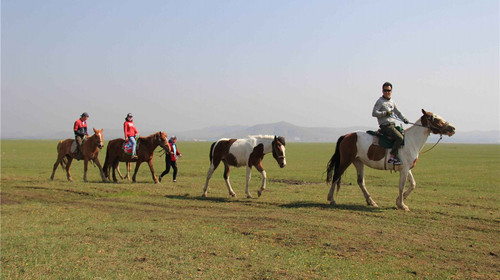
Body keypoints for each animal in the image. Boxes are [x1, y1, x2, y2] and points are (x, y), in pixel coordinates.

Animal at [326, 110, 456, 211]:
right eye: (436, 119)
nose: (453, 128)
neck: (411, 141)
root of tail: (346, 136)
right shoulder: (404, 169)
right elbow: (401, 186)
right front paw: (402, 205)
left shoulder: (406, 168)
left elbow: (413, 184)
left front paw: (399, 201)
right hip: (346, 161)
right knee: (336, 176)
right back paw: (331, 199)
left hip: (358, 162)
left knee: (360, 181)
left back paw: (371, 202)